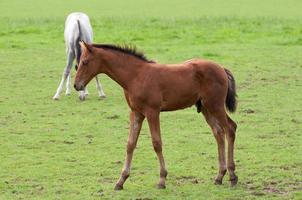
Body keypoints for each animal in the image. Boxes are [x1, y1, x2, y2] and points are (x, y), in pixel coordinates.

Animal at [73, 41, 238, 189]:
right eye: (78, 63)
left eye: (85, 62)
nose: (76, 85)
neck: (136, 76)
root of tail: (221, 68)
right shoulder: (136, 113)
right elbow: (130, 144)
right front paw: (121, 180)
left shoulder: (152, 112)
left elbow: (157, 143)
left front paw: (162, 180)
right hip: (205, 108)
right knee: (218, 132)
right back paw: (219, 176)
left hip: (215, 105)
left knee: (230, 128)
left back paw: (232, 176)